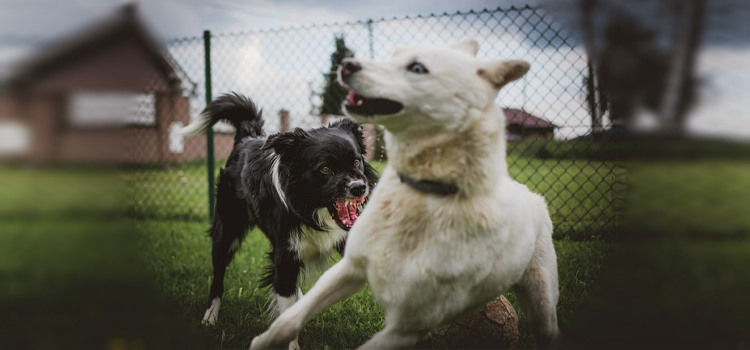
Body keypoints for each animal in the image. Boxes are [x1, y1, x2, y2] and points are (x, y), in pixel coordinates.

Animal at [185, 93, 378, 344]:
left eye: (356, 162)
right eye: (325, 169)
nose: (359, 187)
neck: (312, 209)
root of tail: (248, 136)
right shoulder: (285, 255)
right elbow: (285, 303)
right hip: (226, 231)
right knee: (218, 275)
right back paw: (210, 317)